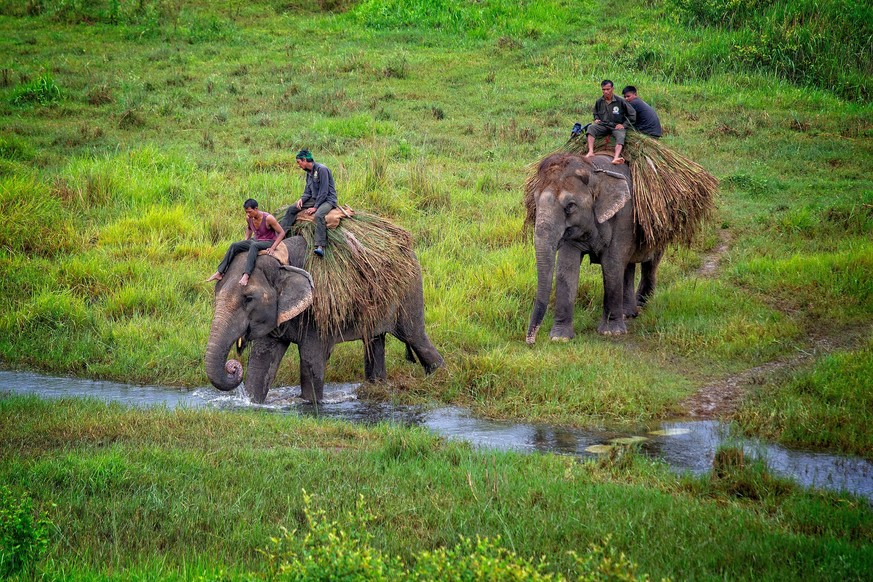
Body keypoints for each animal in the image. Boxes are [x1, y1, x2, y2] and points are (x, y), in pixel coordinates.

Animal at [204, 235, 442, 404]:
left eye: (248, 298)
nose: (233, 367)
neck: (282, 261)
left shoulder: (317, 309)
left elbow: (311, 359)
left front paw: (312, 404)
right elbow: (261, 361)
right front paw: (253, 403)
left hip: (409, 290)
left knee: (415, 337)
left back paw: (439, 377)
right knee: (375, 342)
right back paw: (376, 389)